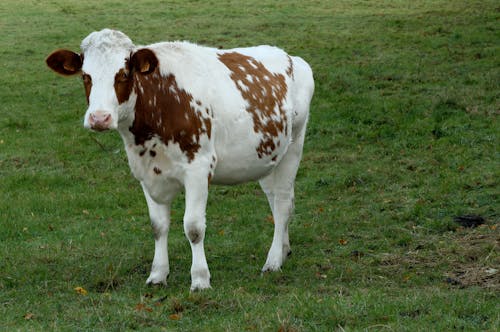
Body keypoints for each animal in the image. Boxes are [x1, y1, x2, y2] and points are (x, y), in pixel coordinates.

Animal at [46, 29, 312, 290]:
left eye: (123, 74)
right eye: (85, 76)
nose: (99, 118)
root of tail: (292, 58)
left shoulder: (198, 168)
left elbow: (193, 227)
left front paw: (200, 279)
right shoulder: (146, 173)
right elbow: (158, 226)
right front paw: (158, 274)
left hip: (294, 146)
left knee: (283, 204)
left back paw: (273, 261)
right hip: (267, 156)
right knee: (275, 200)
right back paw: (284, 249)